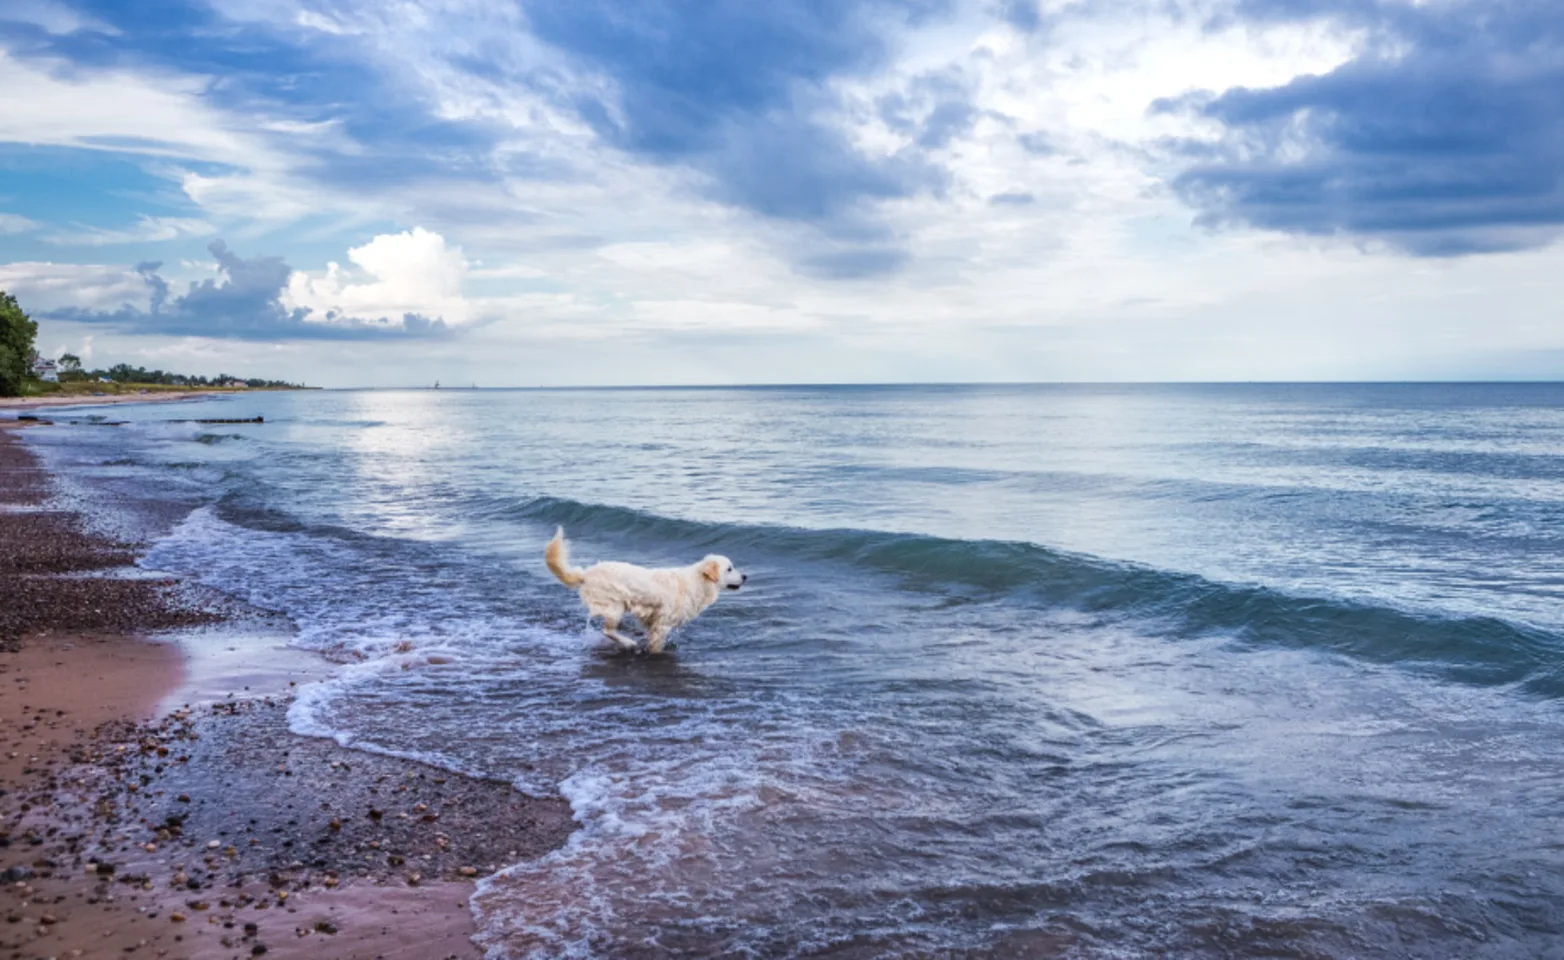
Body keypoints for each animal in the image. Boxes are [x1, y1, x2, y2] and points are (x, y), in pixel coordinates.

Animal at [547, 525, 747, 653]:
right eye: (729, 569)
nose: (745, 577)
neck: (697, 581)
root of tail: (587, 574)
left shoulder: (651, 621)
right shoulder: (662, 624)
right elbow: (656, 646)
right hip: (615, 606)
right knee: (608, 631)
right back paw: (628, 643)